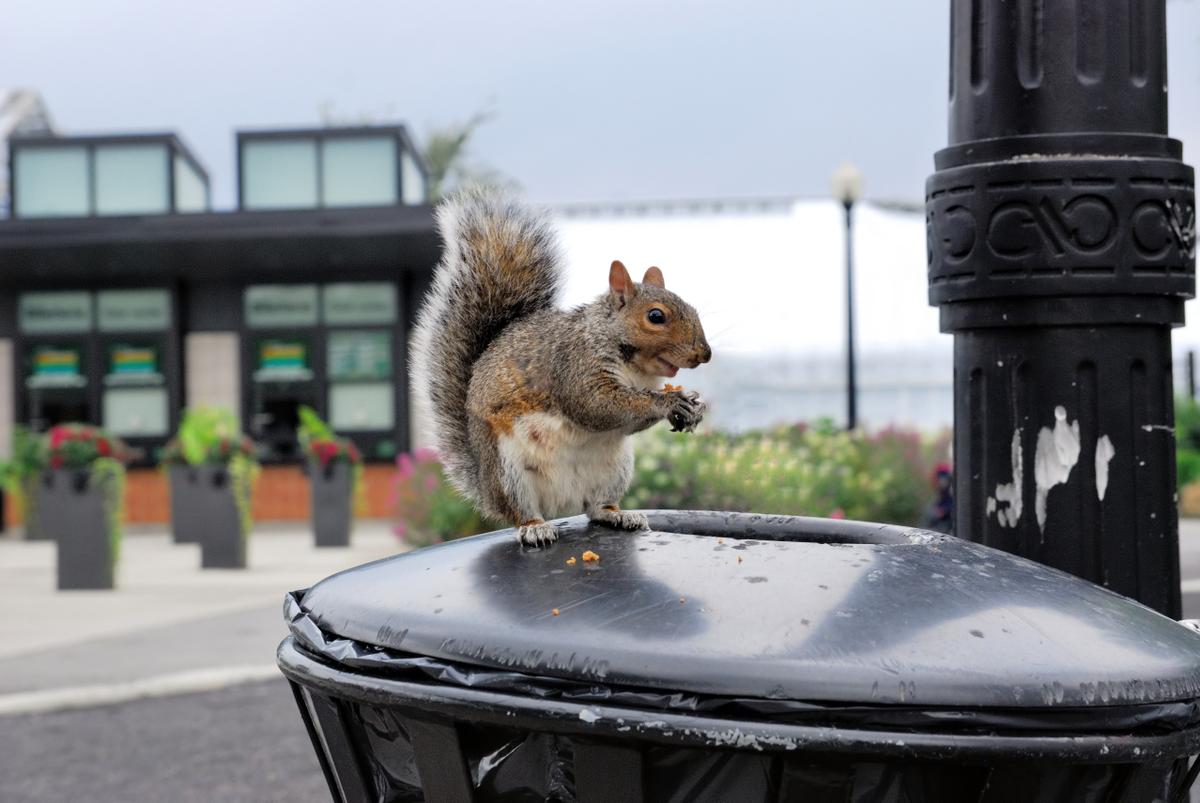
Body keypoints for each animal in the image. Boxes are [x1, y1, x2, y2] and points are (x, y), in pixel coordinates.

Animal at [412, 188, 710, 544]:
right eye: (655, 316)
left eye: (692, 307)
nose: (705, 354)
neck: (633, 366)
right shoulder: (574, 366)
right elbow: (595, 405)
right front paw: (669, 402)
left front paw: (693, 404)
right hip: (509, 472)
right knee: (521, 512)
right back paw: (535, 528)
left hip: (614, 470)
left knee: (596, 508)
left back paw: (618, 515)